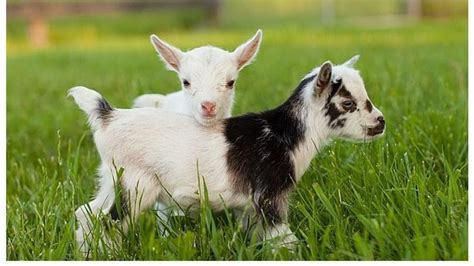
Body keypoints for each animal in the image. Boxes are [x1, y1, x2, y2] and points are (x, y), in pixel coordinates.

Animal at [72, 55, 386, 251]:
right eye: (348, 103)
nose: (381, 122)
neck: (284, 133)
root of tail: (108, 116)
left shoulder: (249, 206)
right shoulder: (269, 196)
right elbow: (283, 238)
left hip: (112, 180)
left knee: (87, 215)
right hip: (135, 185)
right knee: (110, 221)